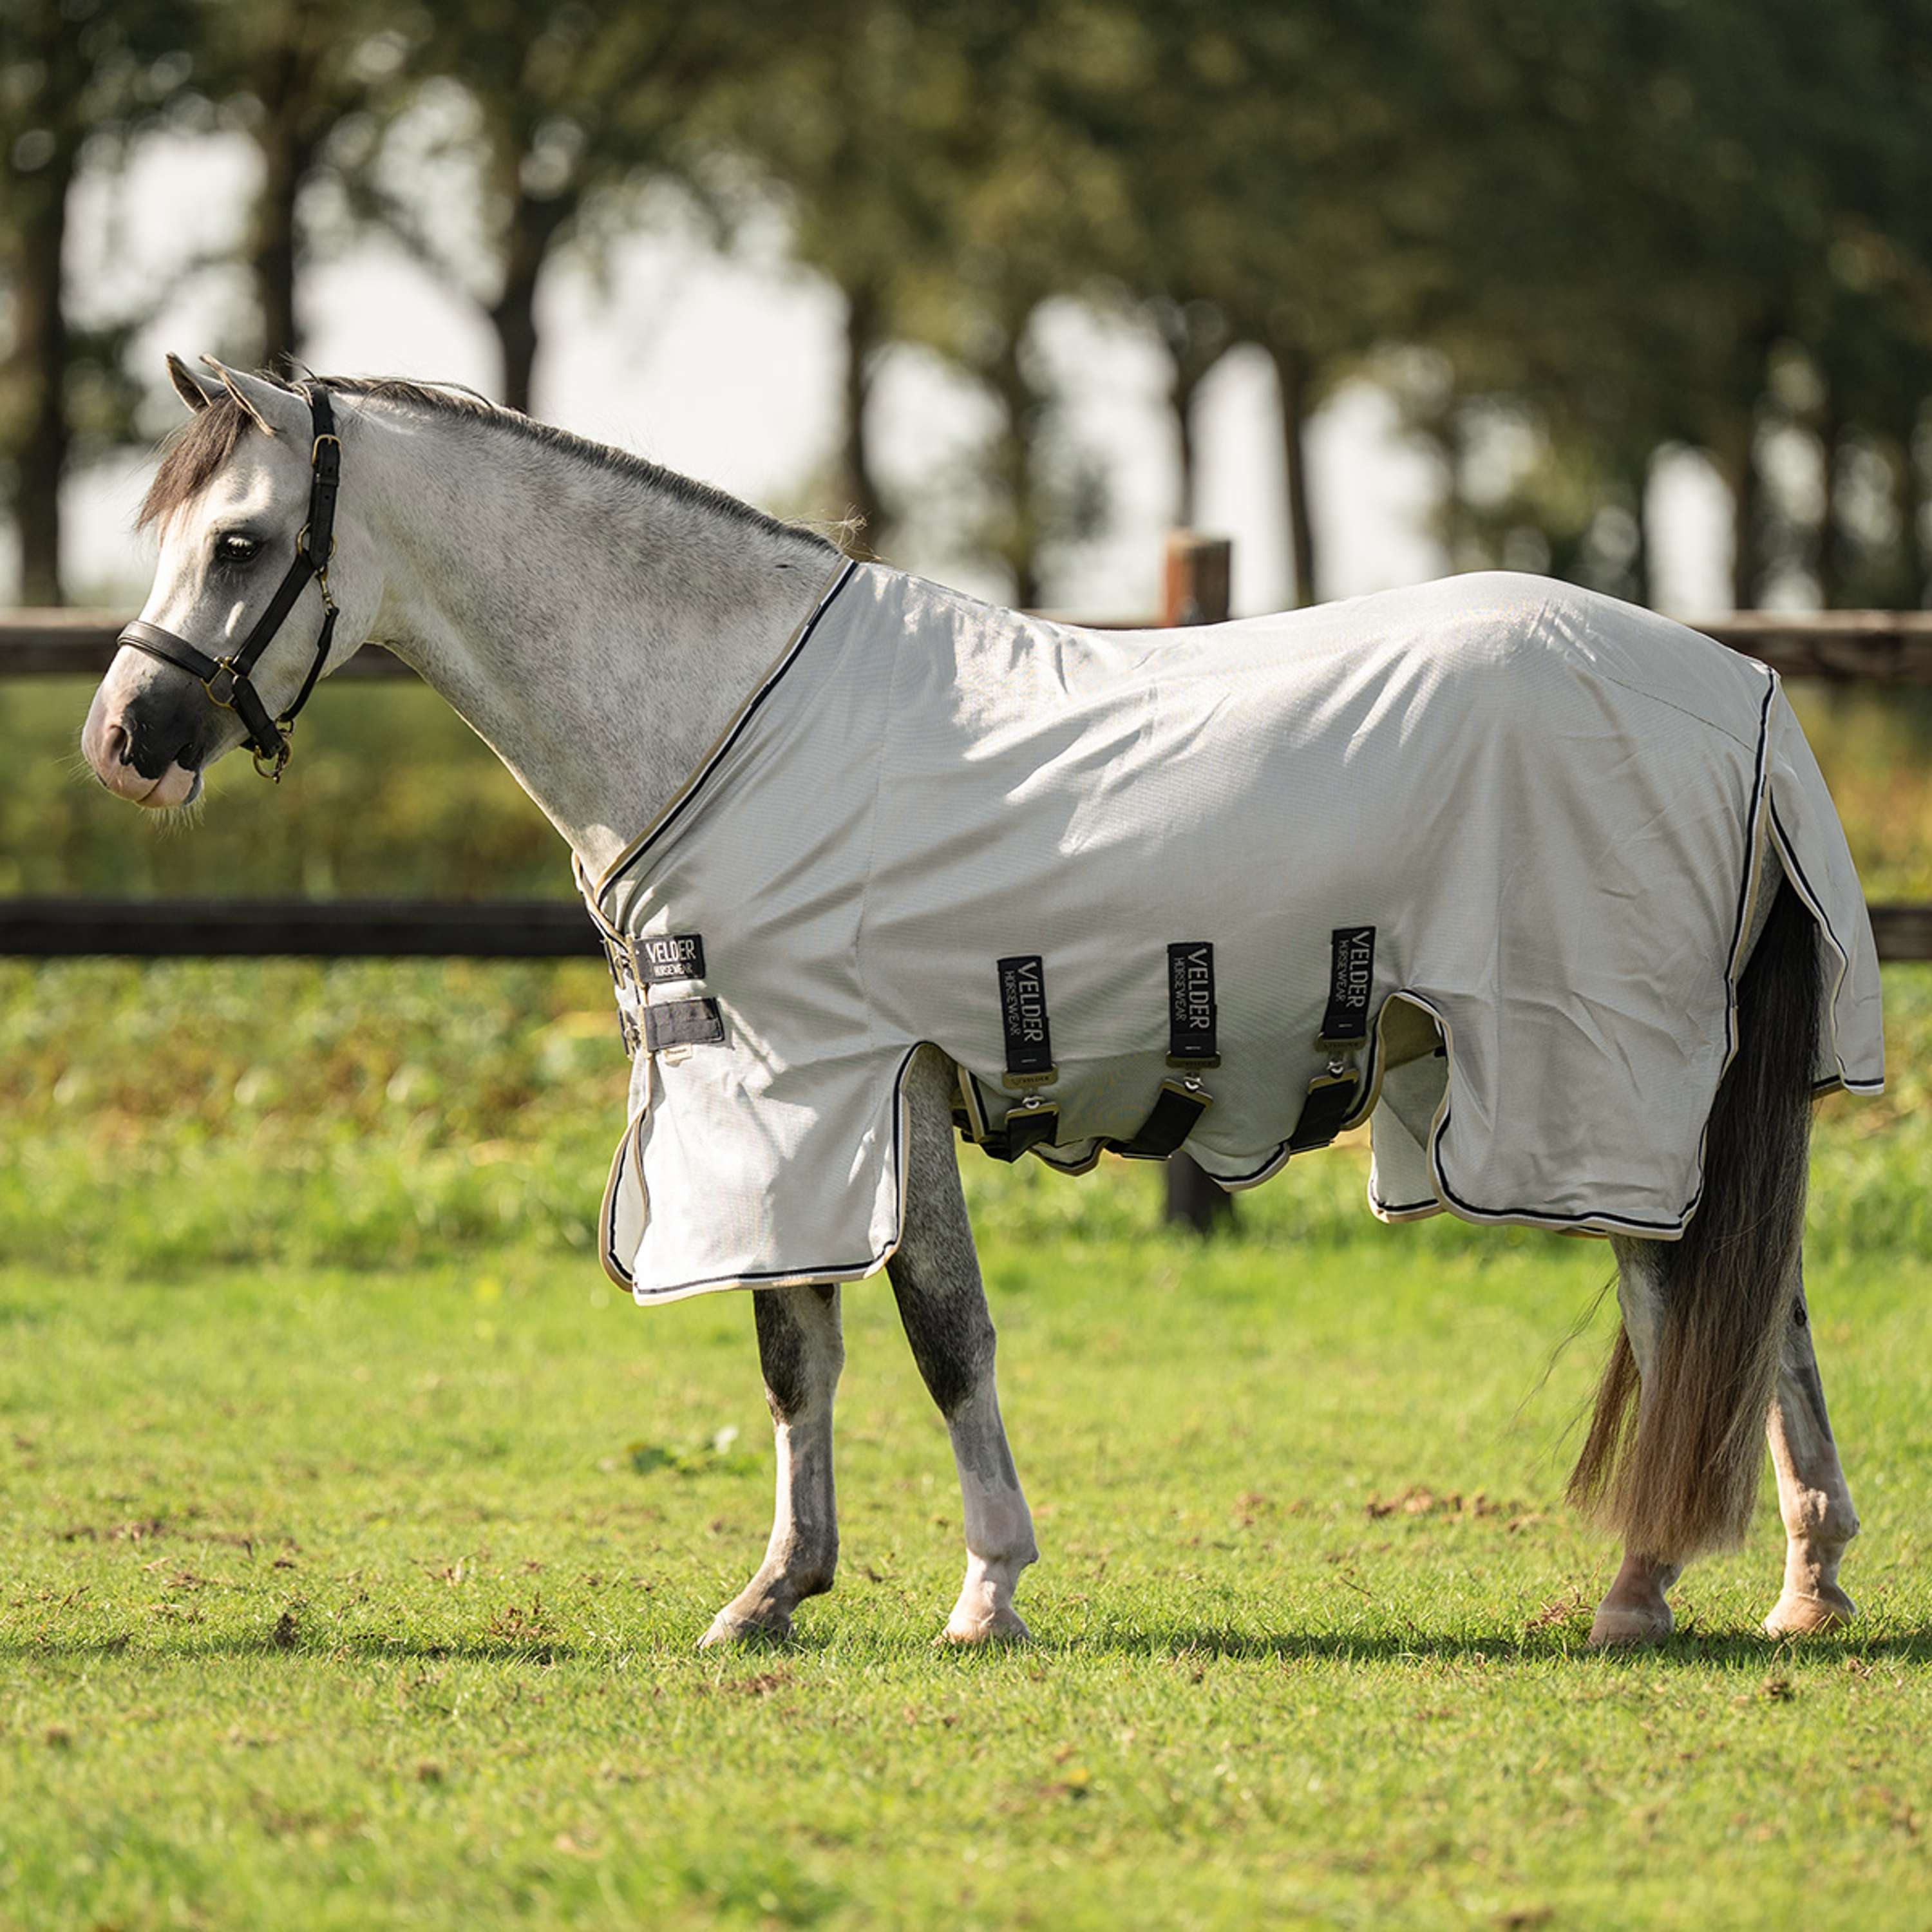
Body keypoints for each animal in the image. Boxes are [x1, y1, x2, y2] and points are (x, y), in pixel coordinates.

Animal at [81, 355, 1879, 1650]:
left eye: (239, 540)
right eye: (165, 533)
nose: (122, 744)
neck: (725, 717)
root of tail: (1741, 688)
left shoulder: (857, 1083)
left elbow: (937, 1333)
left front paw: (985, 1591)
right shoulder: (787, 1097)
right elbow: (795, 1349)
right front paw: (774, 1594)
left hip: (1595, 1077)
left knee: (1679, 1295)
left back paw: (1645, 1585)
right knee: (1759, 1298)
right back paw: (1800, 1584)